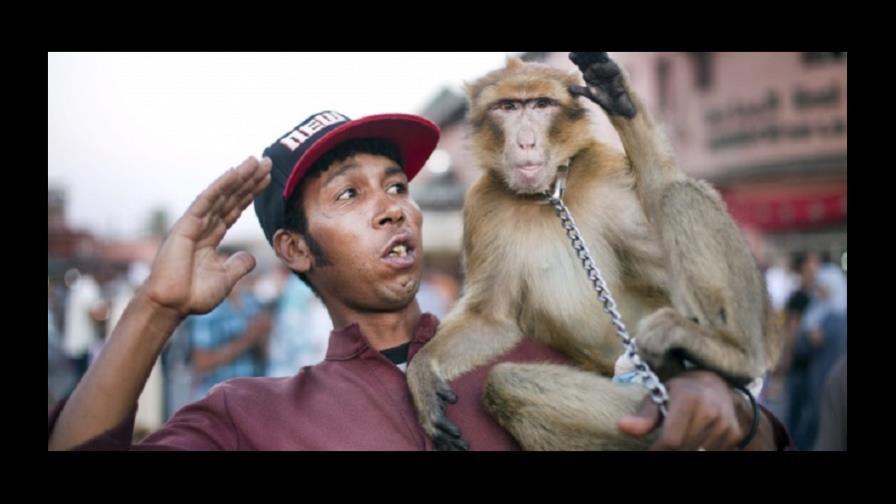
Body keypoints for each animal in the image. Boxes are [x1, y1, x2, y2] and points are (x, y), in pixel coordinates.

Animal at [406, 52, 780, 451]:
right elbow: (491, 319)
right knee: (507, 386)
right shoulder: (483, 208)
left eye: (540, 104)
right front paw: (423, 370)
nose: (525, 141)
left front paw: (617, 95)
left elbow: (662, 192)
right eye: (508, 107)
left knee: (679, 195)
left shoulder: (604, 174)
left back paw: (733, 354)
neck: (549, 196)